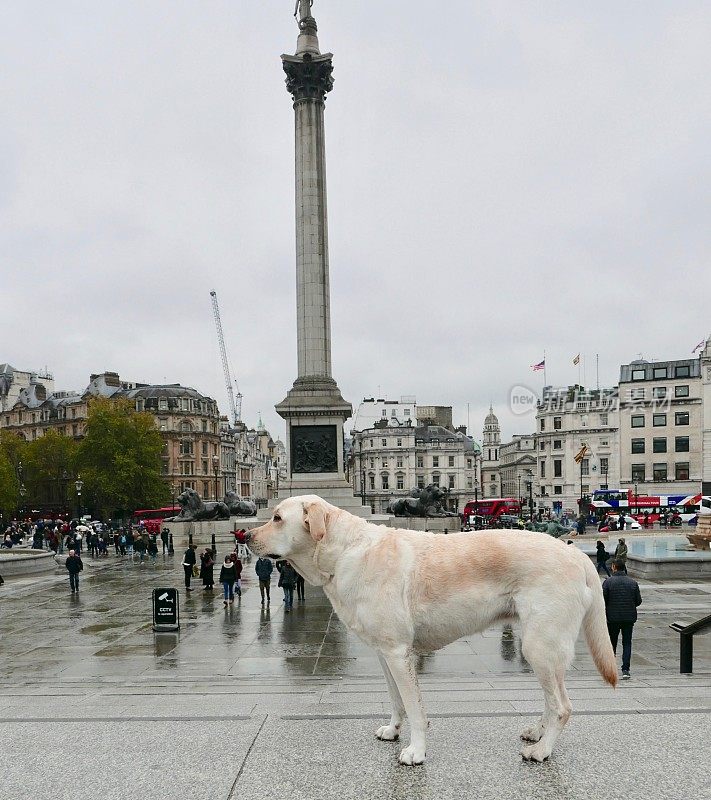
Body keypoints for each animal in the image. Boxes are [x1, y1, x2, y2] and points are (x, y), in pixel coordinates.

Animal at [249, 496, 616, 764]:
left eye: (277, 518)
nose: (245, 536)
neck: (344, 554)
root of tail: (577, 555)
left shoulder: (399, 652)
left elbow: (414, 707)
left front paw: (415, 751)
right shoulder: (385, 654)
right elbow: (396, 700)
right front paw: (393, 730)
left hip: (541, 646)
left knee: (562, 706)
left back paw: (542, 750)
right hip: (539, 647)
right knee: (550, 700)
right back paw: (537, 733)